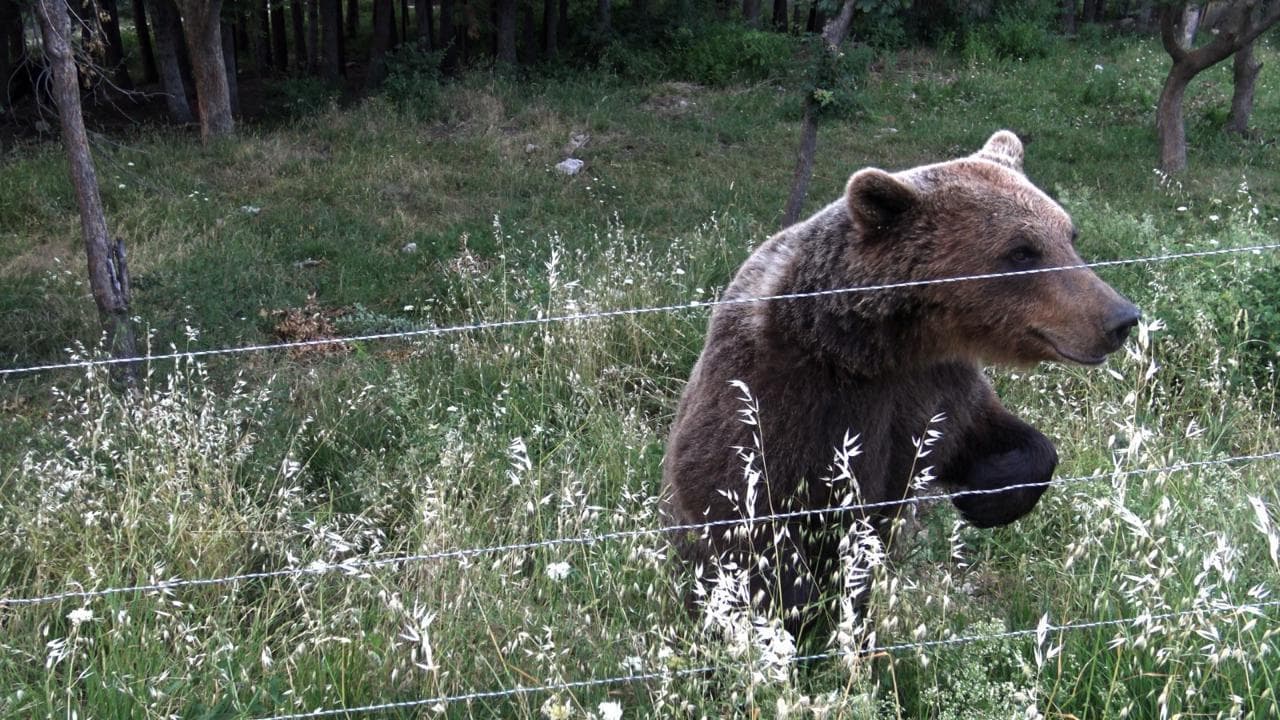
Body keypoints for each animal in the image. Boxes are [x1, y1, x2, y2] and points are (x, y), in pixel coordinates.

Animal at [661, 130, 1140, 637]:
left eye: (1069, 235)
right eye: (1022, 250)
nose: (1120, 318)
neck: (877, 346)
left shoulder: (935, 388)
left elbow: (984, 436)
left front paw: (988, 497)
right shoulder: (785, 392)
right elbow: (736, 503)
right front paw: (796, 612)